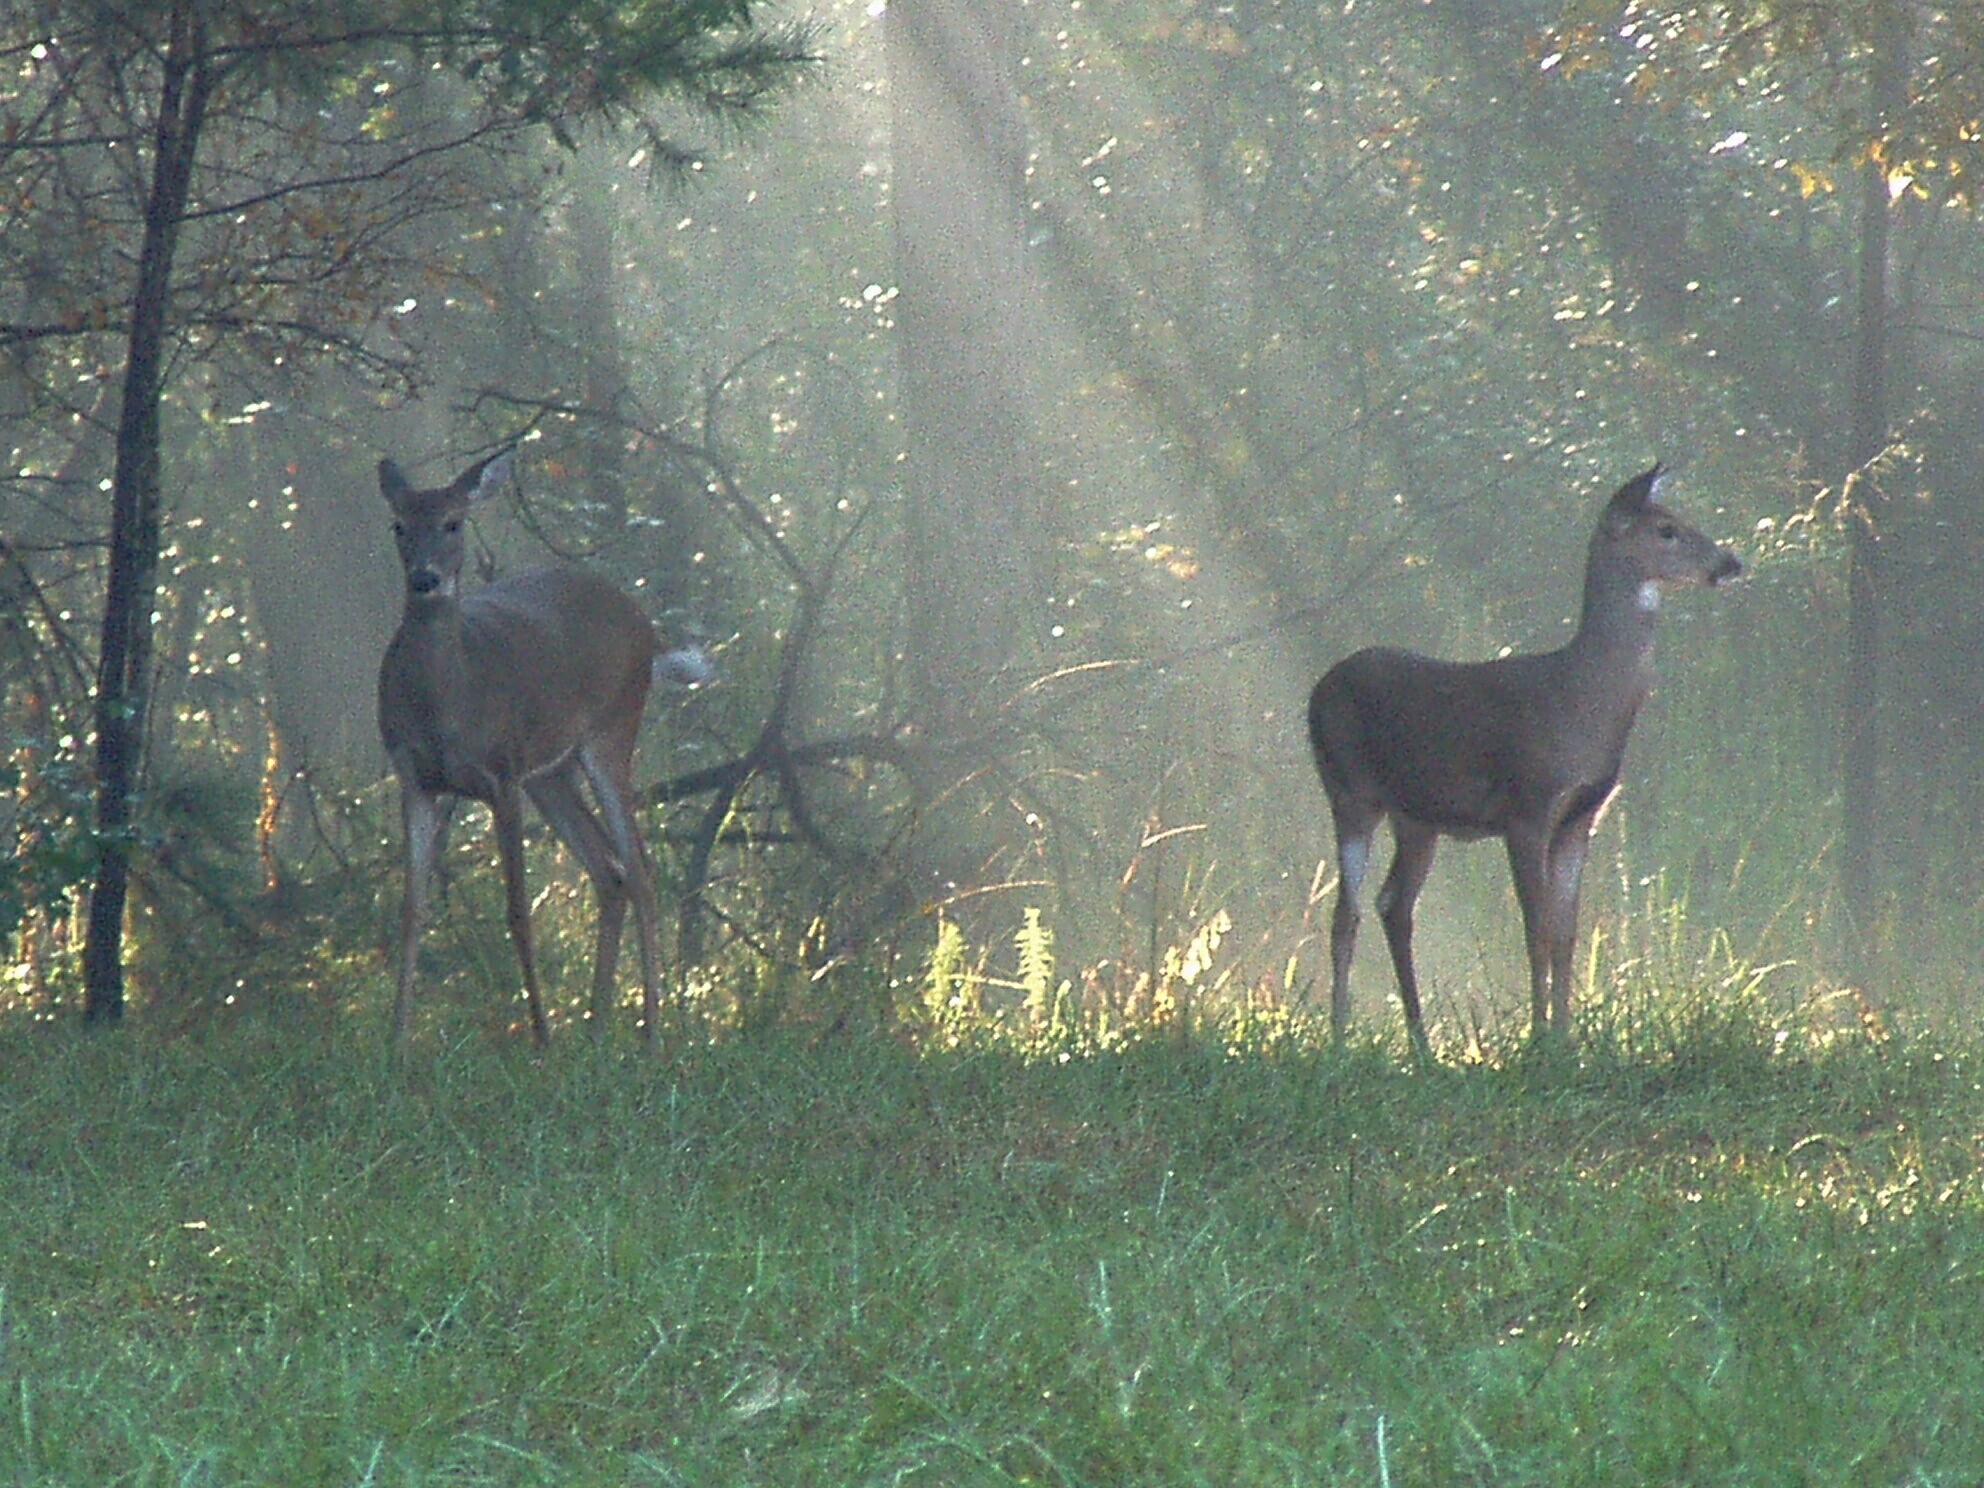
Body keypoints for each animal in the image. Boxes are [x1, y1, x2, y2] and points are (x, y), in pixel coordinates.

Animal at [374, 448, 670, 1055]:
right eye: (398, 524)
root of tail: (644, 622)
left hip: (611, 731)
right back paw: (597, 1031)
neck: (446, 702)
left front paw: (541, 1038)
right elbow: (412, 909)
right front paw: (396, 1040)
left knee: (640, 866)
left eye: (454, 522)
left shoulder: (501, 771)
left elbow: (517, 911)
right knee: (609, 870)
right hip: (551, 772)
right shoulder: (414, 777)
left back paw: (652, 1036)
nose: (425, 578)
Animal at [1309, 464, 1745, 1063]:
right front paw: (1537, 1040)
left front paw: (1565, 1041)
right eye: (1667, 529)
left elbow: (1565, 933)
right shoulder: (1528, 804)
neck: (1581, 699)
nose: (1731, 563)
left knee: (1393, 905)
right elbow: (1534, 928)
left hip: (1417, 818)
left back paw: (1421, 1044)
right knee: (1345, 913)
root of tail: (1317, 691)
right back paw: (1339, 1038)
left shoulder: (1581, 816)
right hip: (1349, 788)